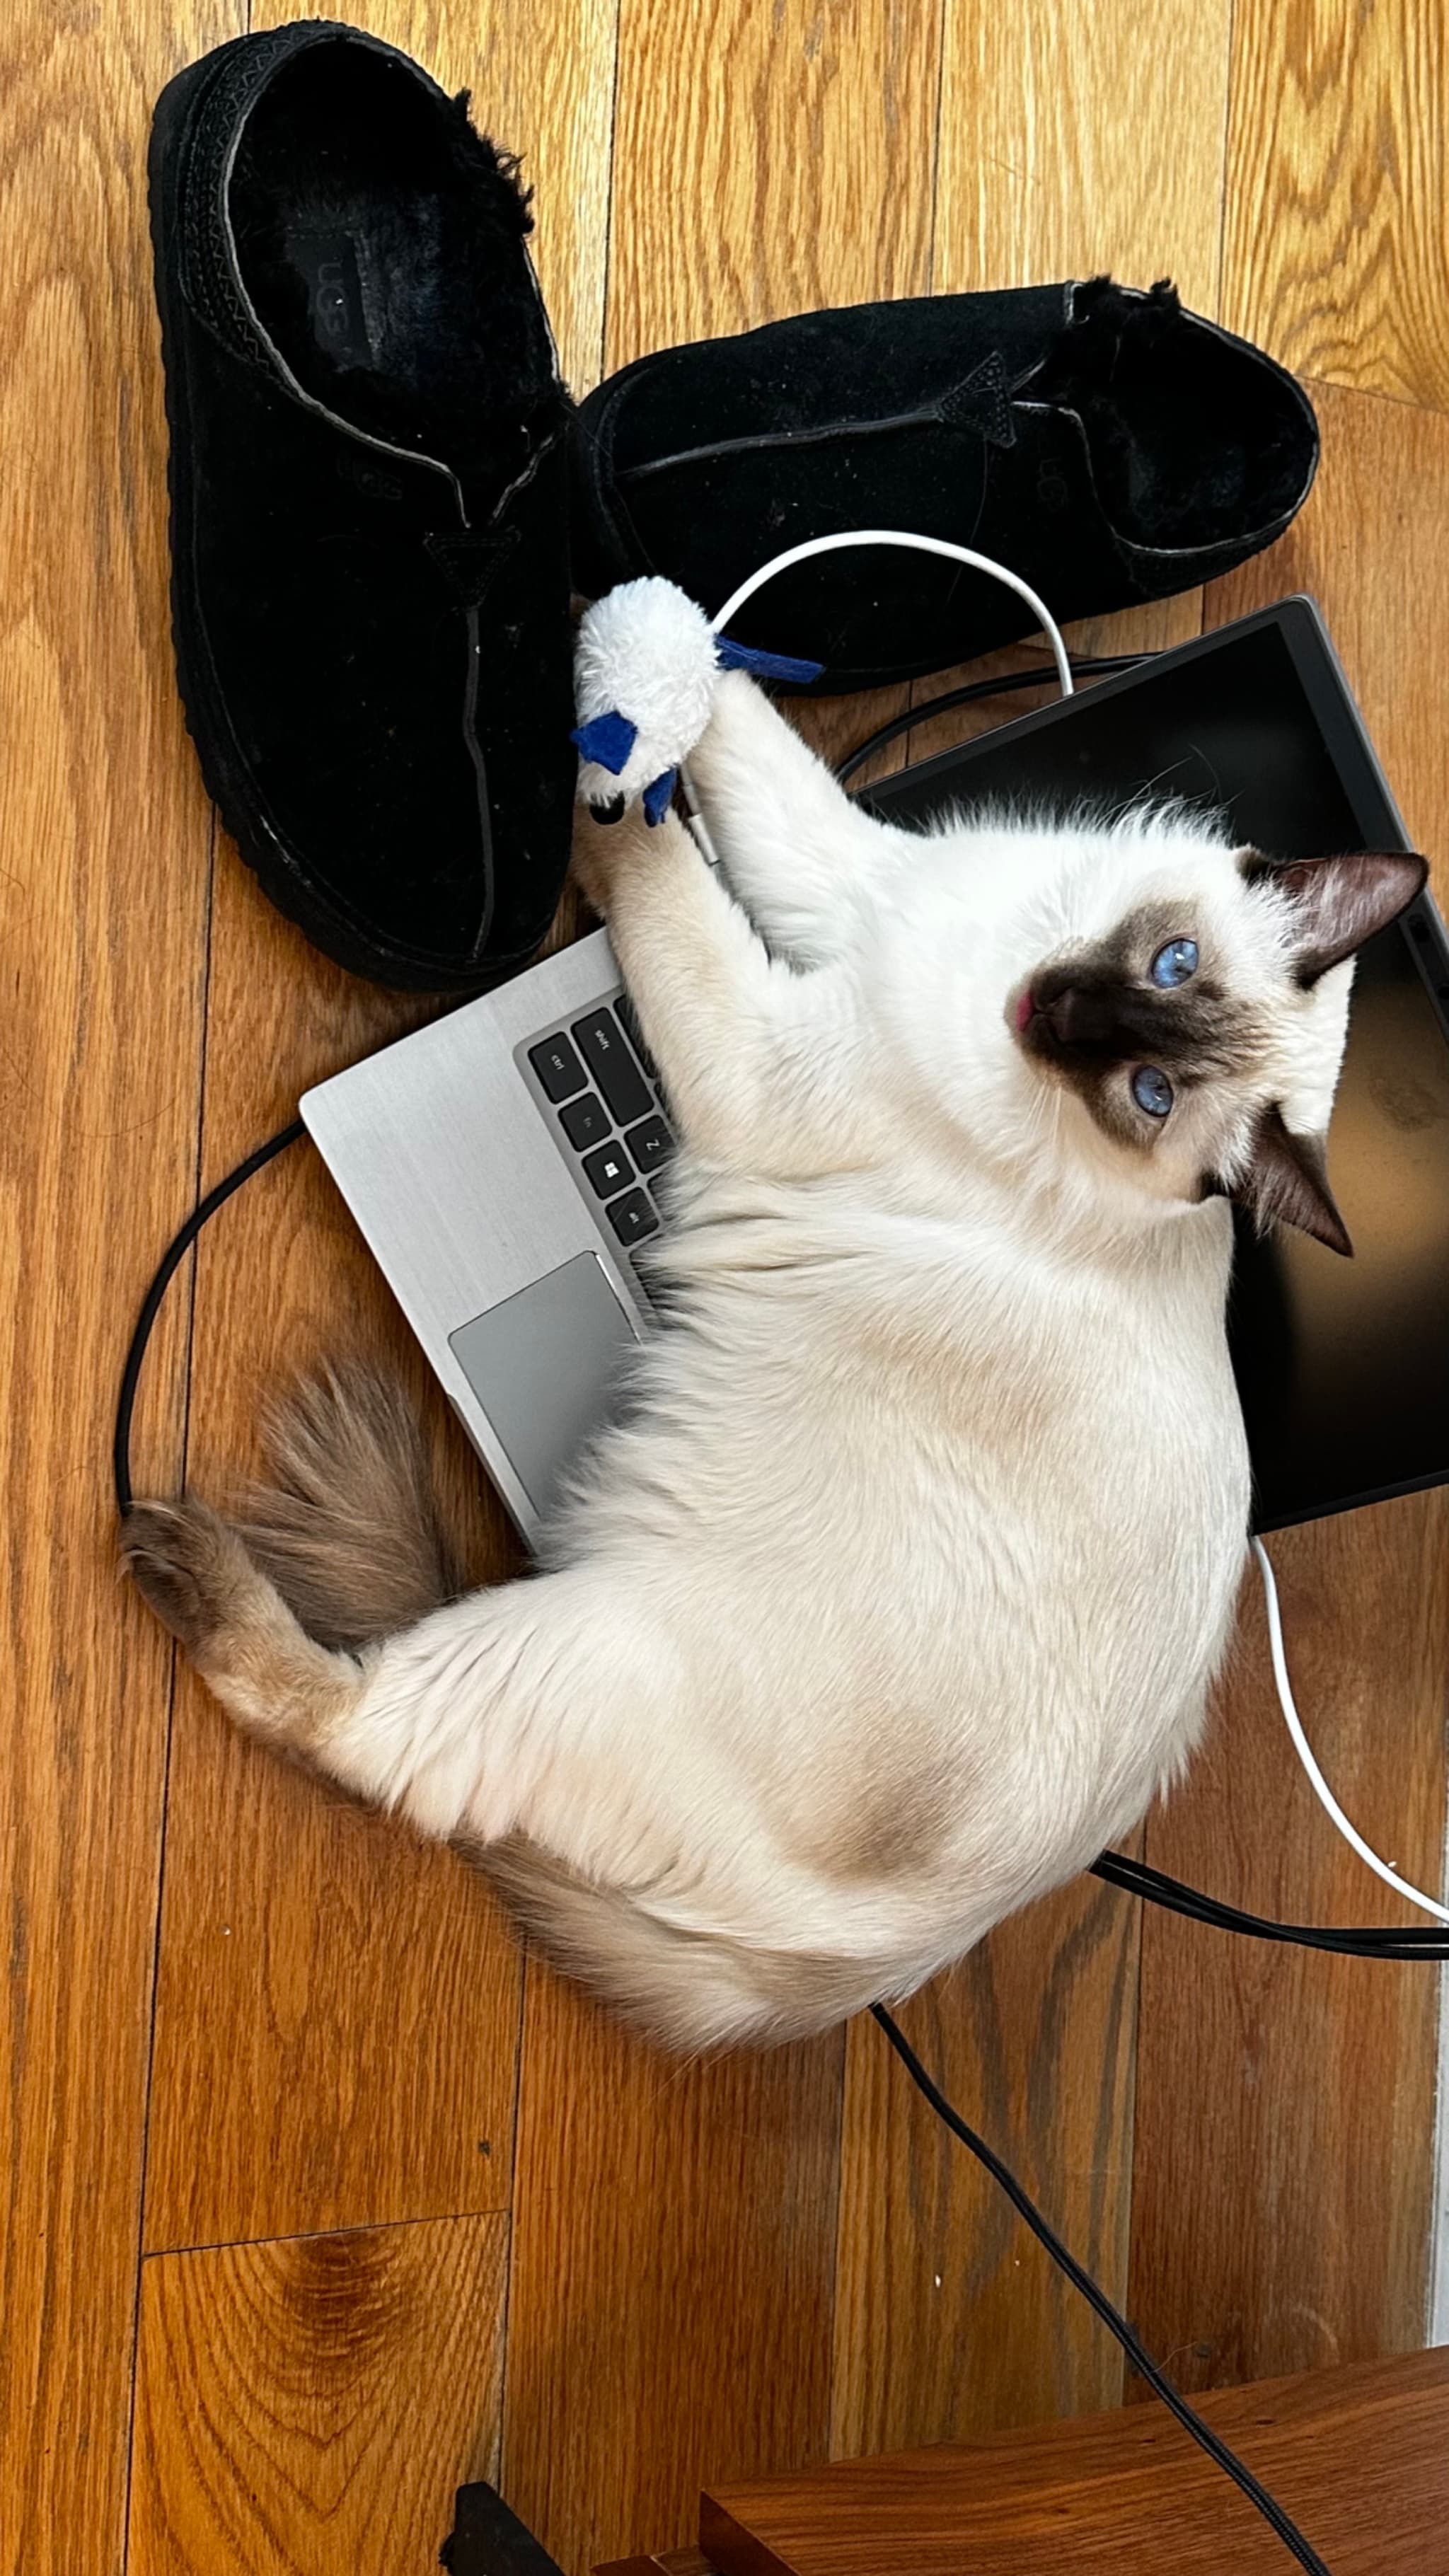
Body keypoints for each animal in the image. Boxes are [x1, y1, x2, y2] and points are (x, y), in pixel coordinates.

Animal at [121, 669, 1423, 2050]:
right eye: (1170, 964)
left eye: (1149, 1092)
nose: (1058, 1013)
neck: (989, 978)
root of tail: (846, 1976)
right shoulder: (857, 885)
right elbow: (745, 745)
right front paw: (648, 670)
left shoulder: (765, 1050)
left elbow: (663, 886)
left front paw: (604, 793)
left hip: (565, 1646)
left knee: (355, 1737)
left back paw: (180, 1559)